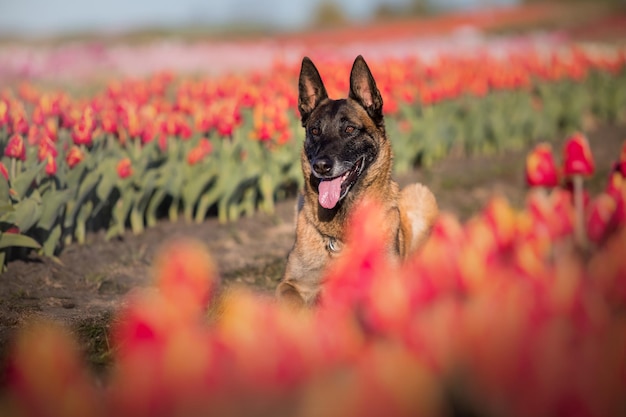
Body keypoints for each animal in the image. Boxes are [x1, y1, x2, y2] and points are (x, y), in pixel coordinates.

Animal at [276, 54, 436, 306]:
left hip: (420, 194)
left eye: (350, 129)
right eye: (315, 131)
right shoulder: (290, 284)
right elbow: (292, 302)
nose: (320, 166)